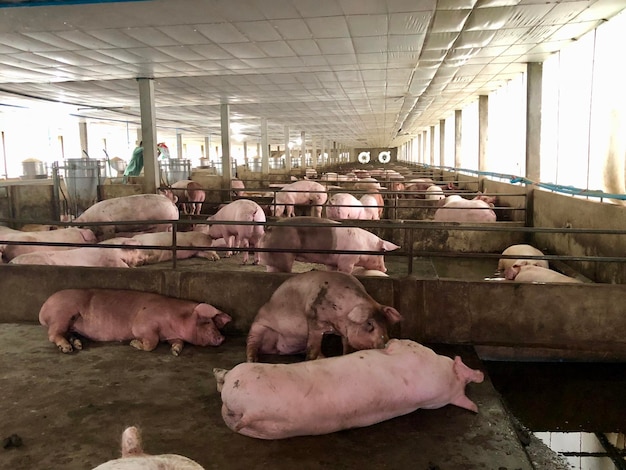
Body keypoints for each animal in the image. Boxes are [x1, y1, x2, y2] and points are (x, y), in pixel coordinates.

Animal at [38, 286, 232, 356]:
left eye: (214, 323)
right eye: (207, 322)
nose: (222, 337)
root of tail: (43, 309)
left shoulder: (172, 336)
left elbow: (179, 343)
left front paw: (175, 352)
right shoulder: (143, 324)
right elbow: (151, 342)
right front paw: (133, 343)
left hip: (71, 324)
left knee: (66, 333)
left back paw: (77, 345)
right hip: (63, 314)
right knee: (53, 334)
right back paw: (67, 349)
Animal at [214, 338, 482, 440]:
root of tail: (250, 411)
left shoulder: (412, 349)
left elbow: (398, 342)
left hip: (244, 380)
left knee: (226, 379)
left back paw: (218, 373)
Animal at [244, 270, 400, 362]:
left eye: (385, 322)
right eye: (369, 324)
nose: (386, 342)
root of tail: (279, 350)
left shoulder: (344, 331)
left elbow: (347, 347)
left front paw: (345, 356)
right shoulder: (314, 320)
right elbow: (312, 348)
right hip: (257, 327)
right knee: (251, 346)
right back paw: (252, 361)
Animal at [258, 216, 400, 274]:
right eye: (382, 252)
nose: (385, 269)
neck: (365, 247)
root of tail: (269, 229)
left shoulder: (332, 262)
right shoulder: (347, 259)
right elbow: (346, 271)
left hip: (270, 258)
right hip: (284, 254)